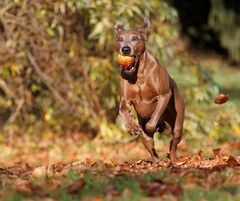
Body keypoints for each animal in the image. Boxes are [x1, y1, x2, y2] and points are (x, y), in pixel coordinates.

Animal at [115, 18, 185, 163]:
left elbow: (153, 120)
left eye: (135, 38)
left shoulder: (164, 95)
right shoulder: (125, 100)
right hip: (145, 137)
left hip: (178, 120)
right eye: (120, 39)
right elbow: (123, 110)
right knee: (148, 142)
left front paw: (153, 126)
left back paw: (172, 157)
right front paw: (132, 127)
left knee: (174, 141)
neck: (138, 74)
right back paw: (157, 161)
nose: (125, 49)